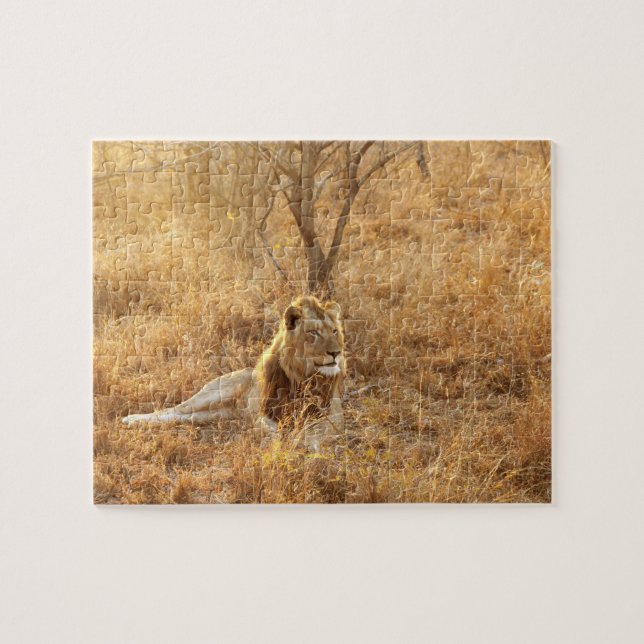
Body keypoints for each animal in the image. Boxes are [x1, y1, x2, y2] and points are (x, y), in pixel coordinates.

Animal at [122, 295, 346, 450]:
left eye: (334, 331)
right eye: (313, 333)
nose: (336, 353)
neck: (304, 377)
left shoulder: (332, 415)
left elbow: (318, 431)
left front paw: (307, 445)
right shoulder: (264, 413)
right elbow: (271, 430)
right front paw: (284, 442)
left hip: (213, 414)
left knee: (182, 417)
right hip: (211, 396)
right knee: (172, 410)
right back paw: (131, 419)